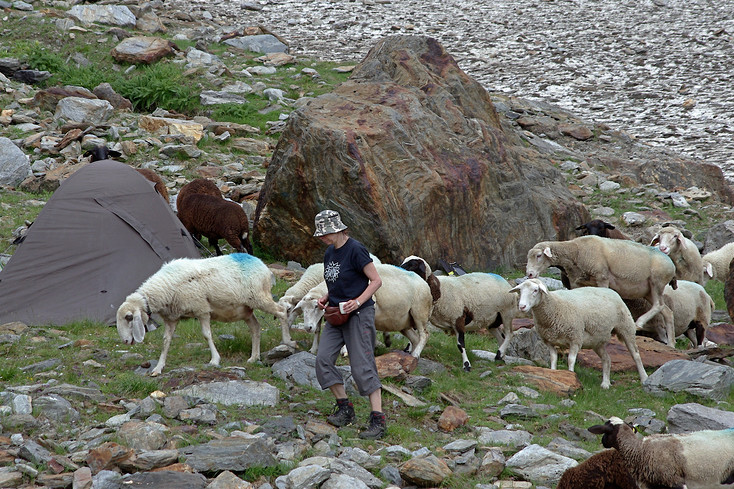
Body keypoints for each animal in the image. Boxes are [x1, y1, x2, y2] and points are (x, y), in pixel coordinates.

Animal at [115, 252, 294, 374]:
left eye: (129, 317)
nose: (125, 341)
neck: (164, 288)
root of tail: (260, 263)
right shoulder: (172, 318)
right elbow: (166, 341)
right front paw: (158, 368)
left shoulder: (201, 309)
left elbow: (206, 334)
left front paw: (215, 360)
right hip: (245, 309)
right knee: (256, 327)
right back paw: (254, 357)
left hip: (260, 297)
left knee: (282, 311)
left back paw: (287, 341)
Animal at [300, 264, 434, 358]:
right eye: (302, 309)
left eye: (316, 307)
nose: (307, 328)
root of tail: (426, 285)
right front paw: (313, 349)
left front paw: (346, 351)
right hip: (402, 322)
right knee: (415, 338)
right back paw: (412, 357)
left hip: (419, 312)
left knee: (425, 334)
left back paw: (415, 354)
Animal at [508, 278, 648, 388]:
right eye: (520, 291)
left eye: (535, 290)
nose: (522, 306)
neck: (554, 306)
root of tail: (611, 291)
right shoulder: (549, 342)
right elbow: (553, 359)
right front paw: (552, 374)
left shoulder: (575, 338)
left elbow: (571, 360)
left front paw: (571, 376)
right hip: (597, 341)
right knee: (607, 359)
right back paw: (605, 383)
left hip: (626, 327)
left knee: (636, 355)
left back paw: (644, 378)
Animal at [528, 234, 680, 334]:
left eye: (539, 255)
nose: (529, 274)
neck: (576, 251)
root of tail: (671, 264)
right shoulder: (577, 283)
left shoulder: (602, 277)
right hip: (648, 290)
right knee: (667, 312)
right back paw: (671, 344)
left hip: (657, 281)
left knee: (658, 305)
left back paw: (639, 323)